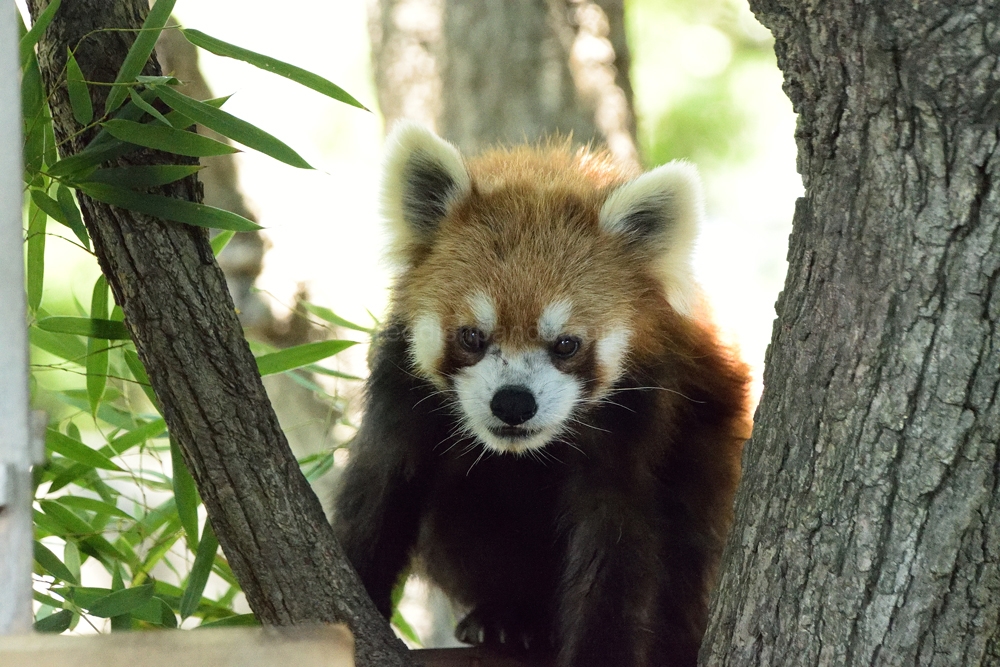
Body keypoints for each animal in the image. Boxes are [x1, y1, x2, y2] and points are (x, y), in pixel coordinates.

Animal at [336, 124, 752, 667]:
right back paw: (511, 619)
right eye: (472, 336)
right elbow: (382, 489)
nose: (513, 403)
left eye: (566, 344)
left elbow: (616, 546)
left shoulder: (638, 418)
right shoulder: (402, 394)